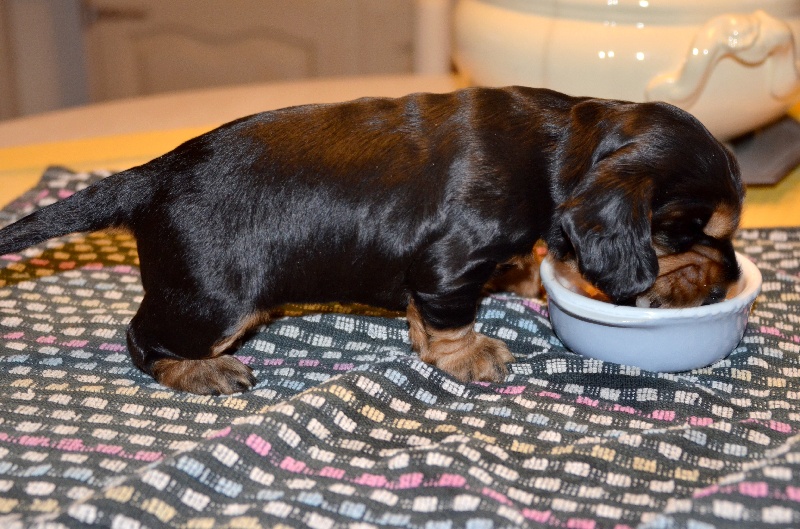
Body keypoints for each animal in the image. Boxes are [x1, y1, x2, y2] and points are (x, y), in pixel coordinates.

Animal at [0, 87, 743, 395]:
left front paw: (526, 275)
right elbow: (451, 319)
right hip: (212, 300)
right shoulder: (449, 265)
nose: (732, 283)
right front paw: (472, 355)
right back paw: (200, 371)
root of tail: (149, 176)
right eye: (691, 231)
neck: (562, 143)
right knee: (142, 339)